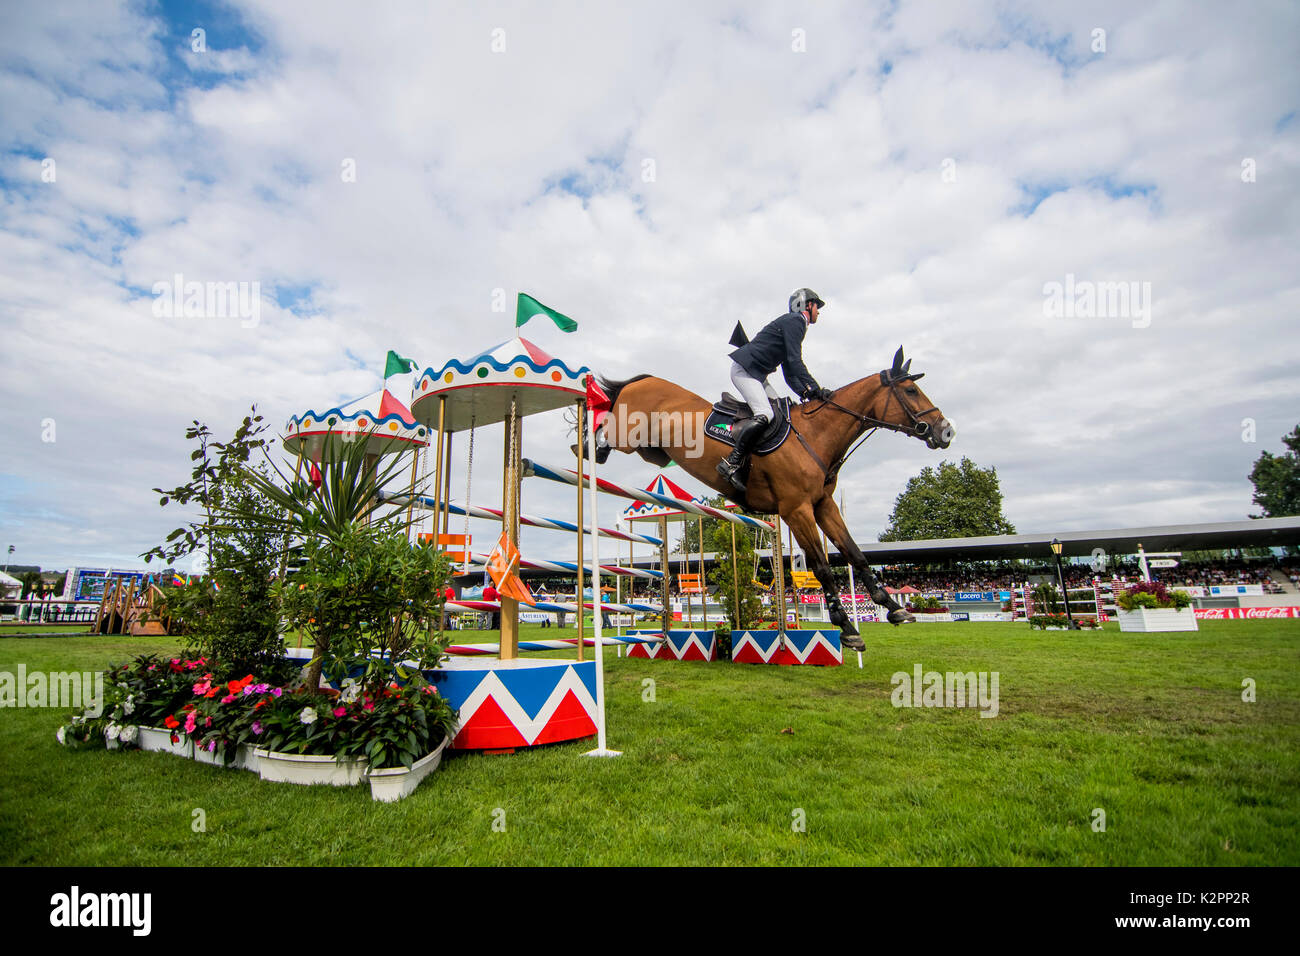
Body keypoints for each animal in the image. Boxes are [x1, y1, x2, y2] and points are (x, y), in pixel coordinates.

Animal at [595, 348, 951, 655]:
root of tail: (642, 380)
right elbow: (822, 566)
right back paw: (590, 436)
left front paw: (892, 608)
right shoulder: (797, 510)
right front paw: (848, 629)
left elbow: (855, 553)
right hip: (627, 437)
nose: (946, 432)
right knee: (603, 430)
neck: (816, 436)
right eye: (910, 391)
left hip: (651, 451)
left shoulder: (823, 506)